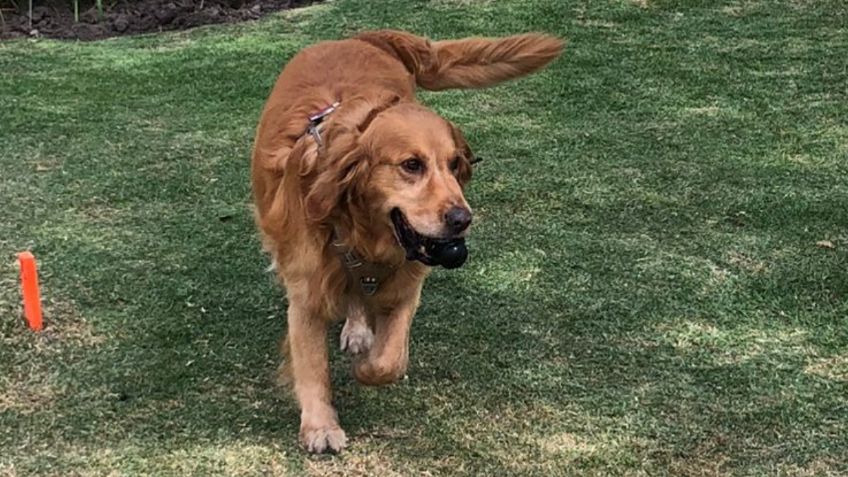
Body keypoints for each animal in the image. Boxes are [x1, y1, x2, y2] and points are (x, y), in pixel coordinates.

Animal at [252, 27, 564, 452]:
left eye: (455, 164)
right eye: (411, 165)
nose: (462, 219)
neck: (356, 230)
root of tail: (361, 36)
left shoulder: (406, 280)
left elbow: (390, 358)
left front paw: (365, 367)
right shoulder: (307, 293)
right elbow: (311, 364)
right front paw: (319, 426)